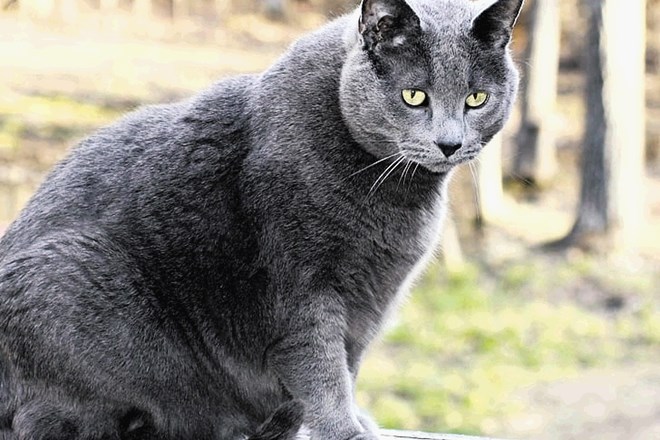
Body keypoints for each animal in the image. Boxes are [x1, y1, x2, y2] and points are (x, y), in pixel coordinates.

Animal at [1, 0, 520, 438]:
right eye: (414, 96)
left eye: (477, 99)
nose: (449, 143)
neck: (394, 193)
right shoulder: (300, 288)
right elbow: (323, 368)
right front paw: (345, 430)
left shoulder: (372, 300)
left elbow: (347, 365)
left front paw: (346, 422)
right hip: (64, 280)